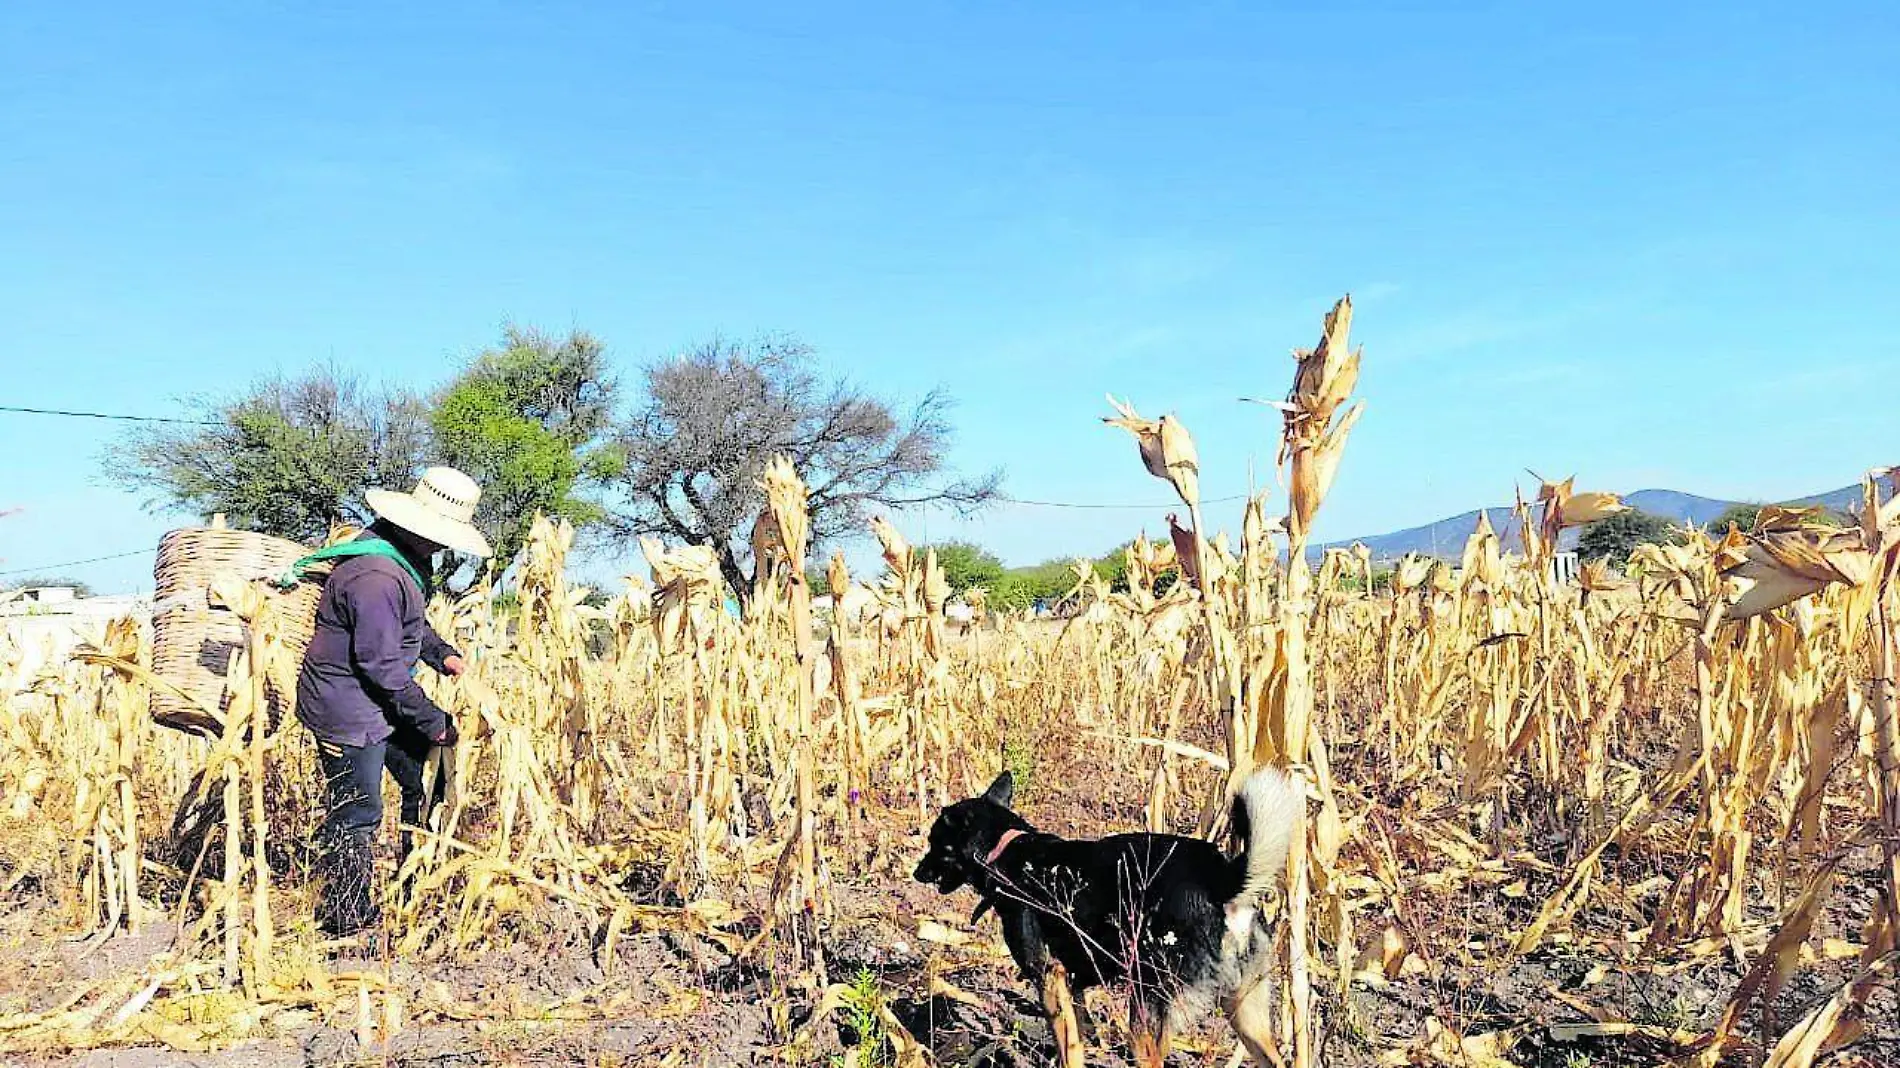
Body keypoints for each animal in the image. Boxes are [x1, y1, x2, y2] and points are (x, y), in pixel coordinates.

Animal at [912, 763, 1299, 1056]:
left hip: (1146, 1013)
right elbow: (1080, 1033)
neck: (1008, 852)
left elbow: (1068, 1048)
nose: (916, 873)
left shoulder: (1049, 979)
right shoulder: (1073, 982)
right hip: (1246, 1015)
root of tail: (1222, 882)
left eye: (934, 843)